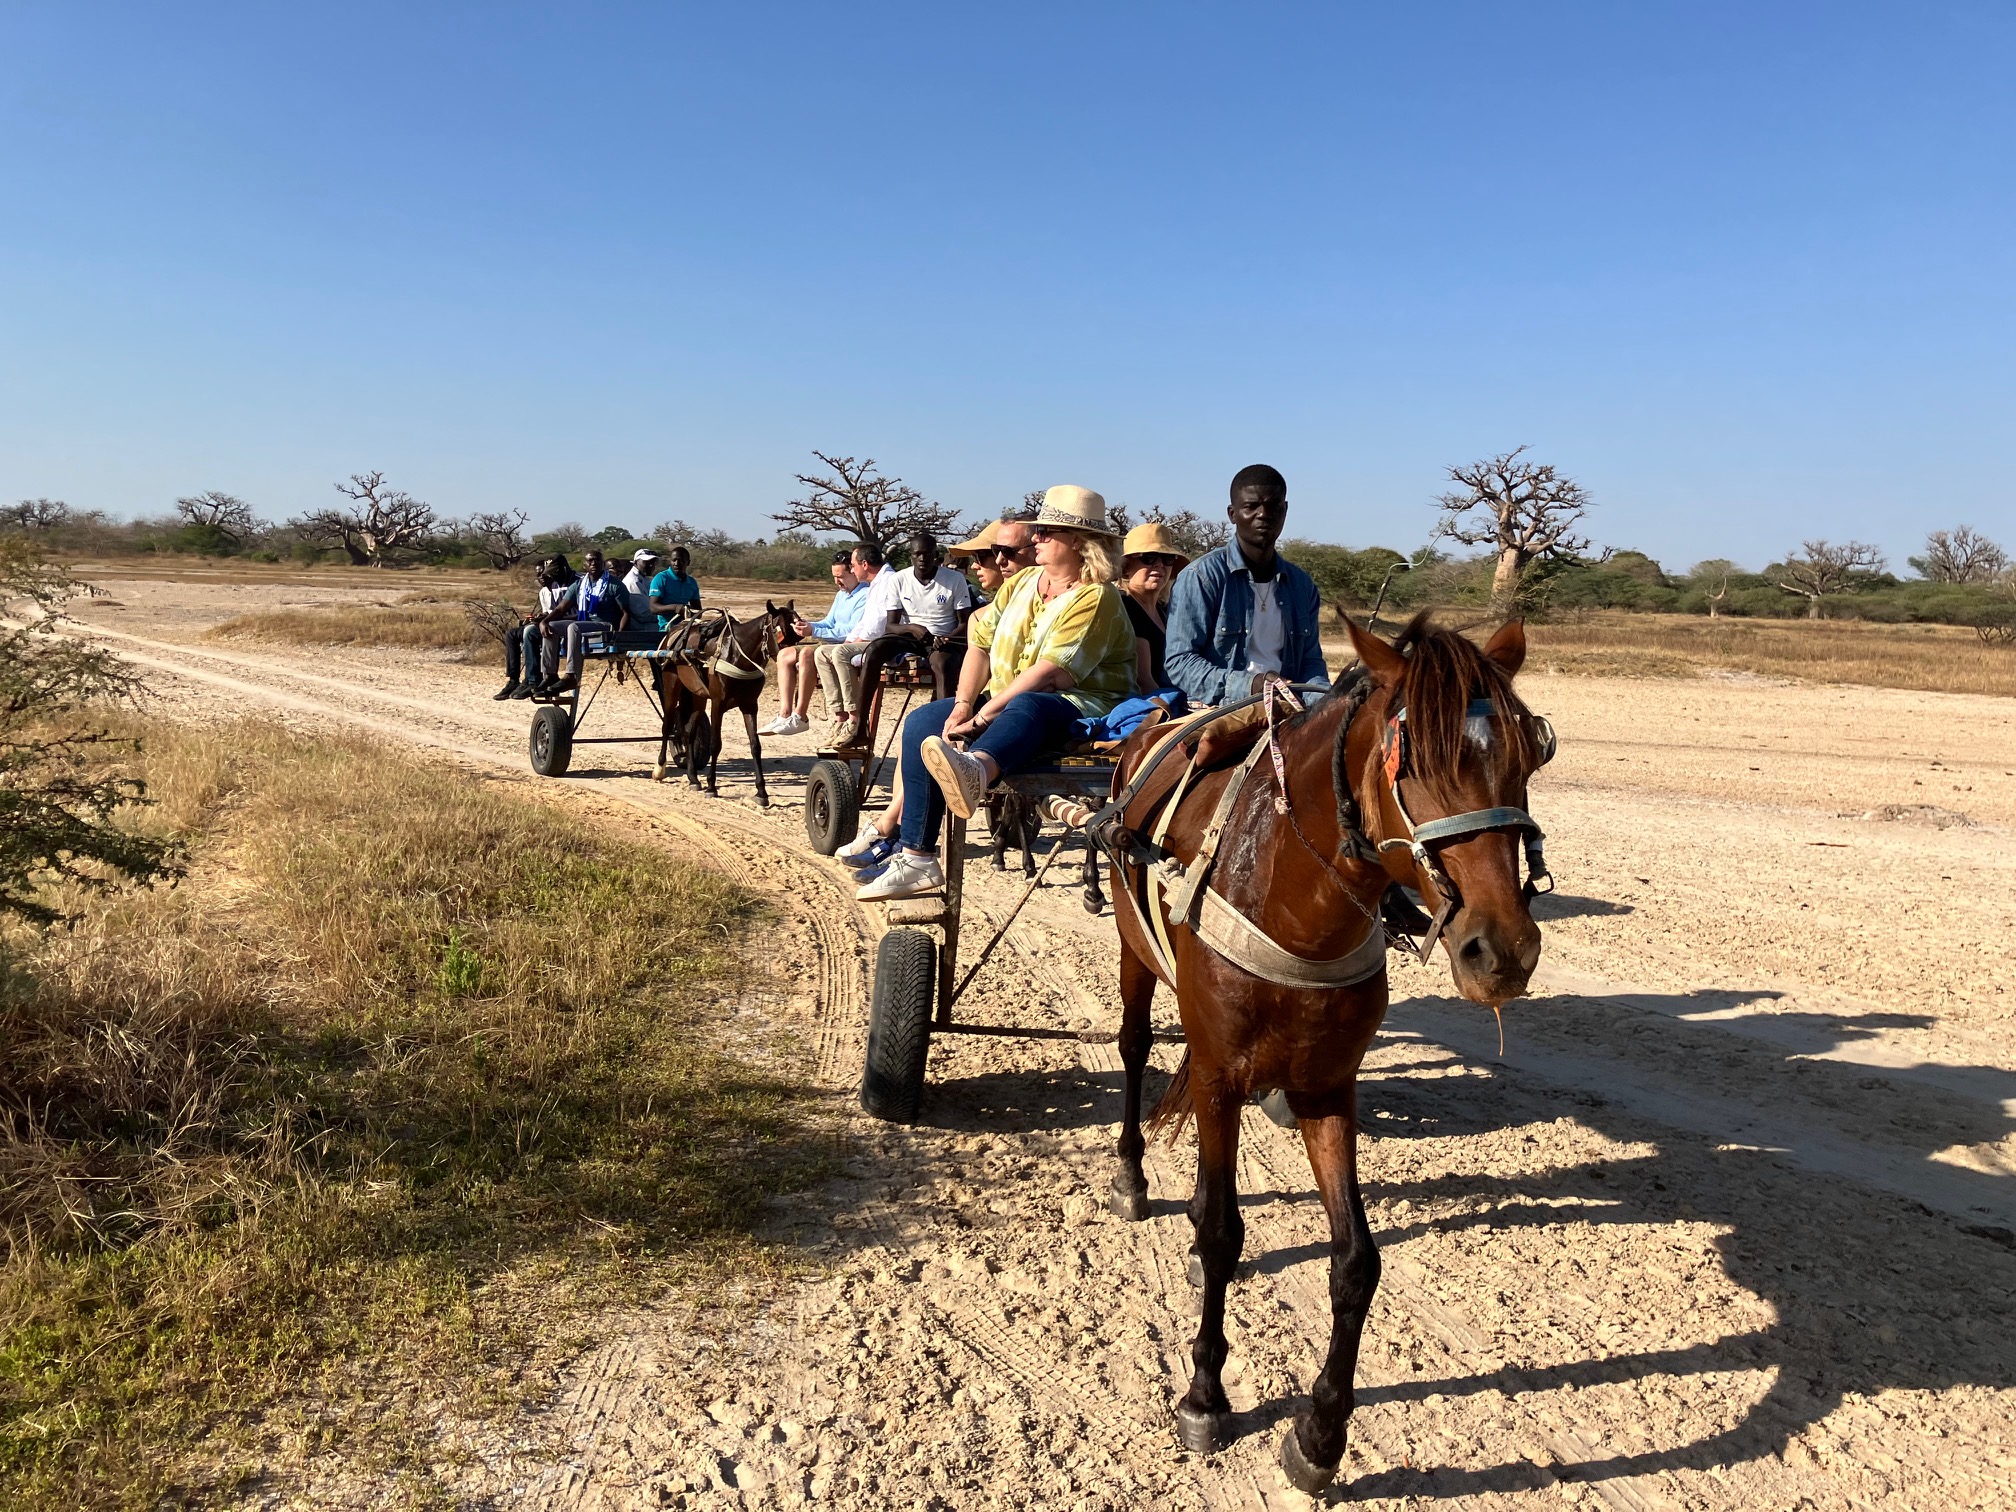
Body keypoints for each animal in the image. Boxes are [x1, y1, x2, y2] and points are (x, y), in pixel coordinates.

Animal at [653, 600, 794, 806]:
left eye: (797, 635)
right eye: (779, 632)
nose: (792, 661)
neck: (738, 656)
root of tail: (676, 630)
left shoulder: (750, 705)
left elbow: (755, 746)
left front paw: (761, 792)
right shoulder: (717, 704)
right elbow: (715, 745)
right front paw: (712, 786)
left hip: (697, 696)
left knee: (688, 733)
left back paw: (693, 778)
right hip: (671, 685)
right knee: (667, 725)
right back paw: (659, 768)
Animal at [1104, 612, 1540, 1491]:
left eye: (1527, 754)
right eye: (1412, 764)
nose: (1502, 950)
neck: (1289, 895)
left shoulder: (1328, 1086)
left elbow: (1356, 1262)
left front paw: (1322, 1432)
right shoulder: (1222, 1075)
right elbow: (1226, 1233)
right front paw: (1205, 1393)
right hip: (1136, 959)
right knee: (1134, 1050)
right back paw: (1133, 1174)